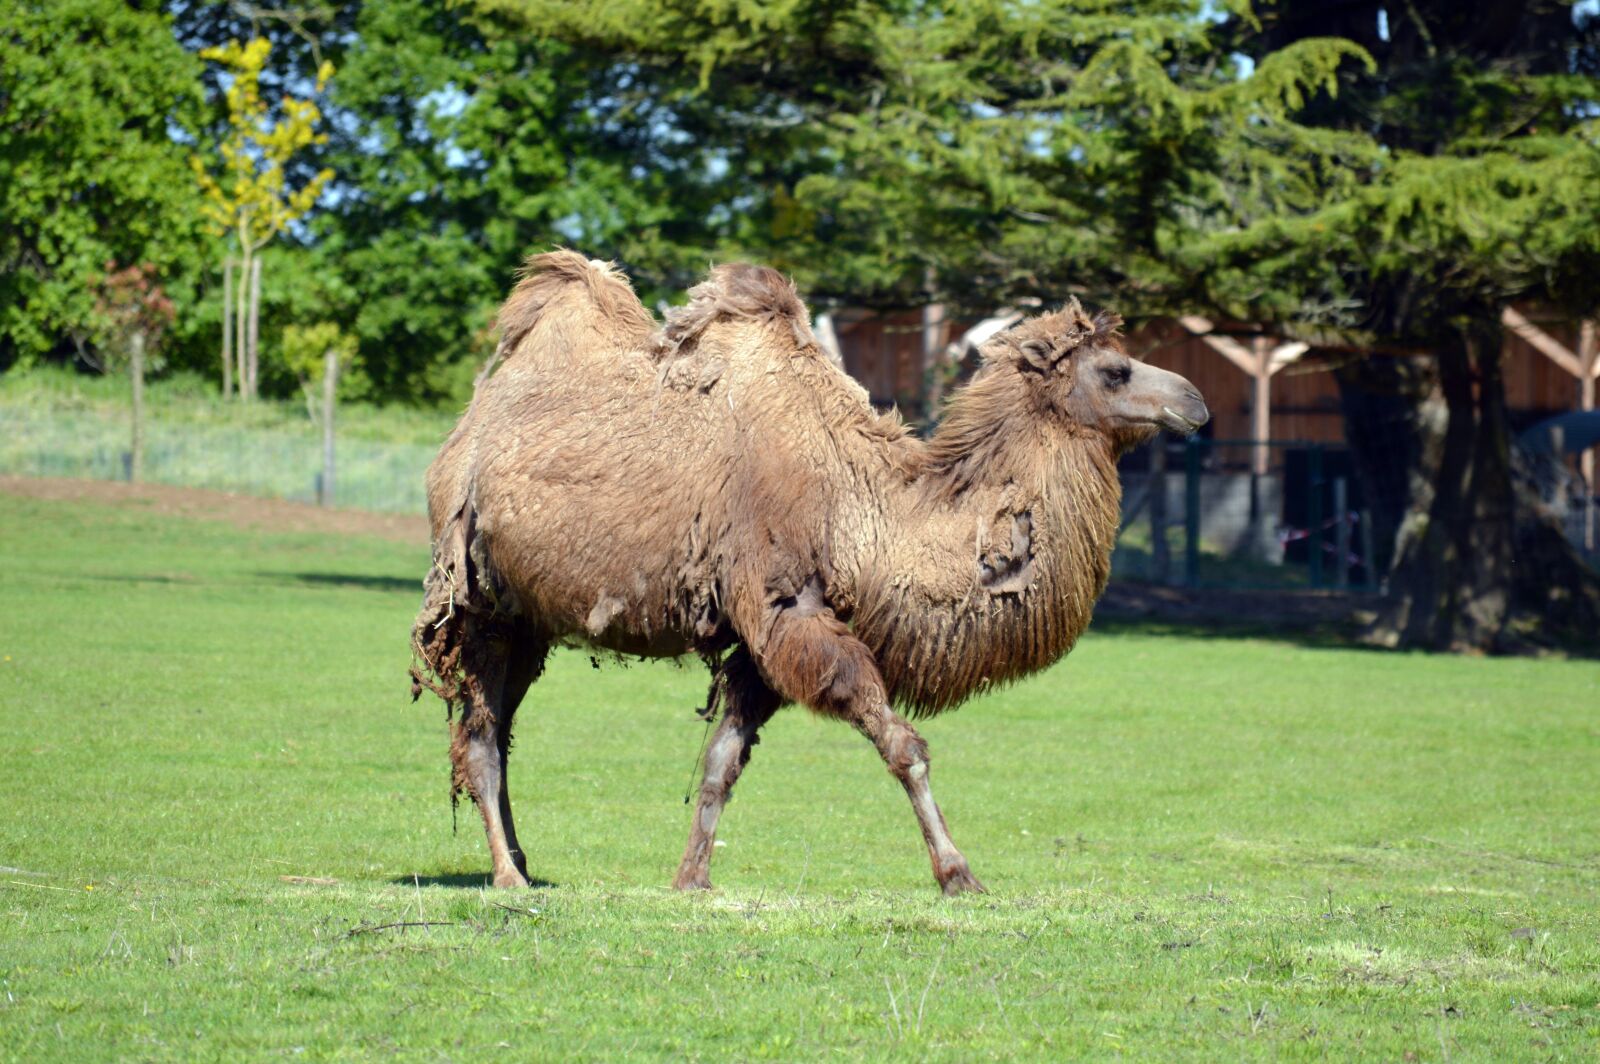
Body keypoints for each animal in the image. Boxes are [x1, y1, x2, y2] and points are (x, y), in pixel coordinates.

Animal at [410, 251, 1208, 895]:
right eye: (1115, 371)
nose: (1195, 402)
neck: (864, 510)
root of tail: (465, 433)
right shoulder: (789, 608)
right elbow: (902, 745)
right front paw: (959, 874)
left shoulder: (766, 638)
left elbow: (721, 760)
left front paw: (691, 879)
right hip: (475, 595)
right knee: (480, 736)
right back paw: (509, 877)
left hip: (531, 620)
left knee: (499, 730)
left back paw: (523, 861)